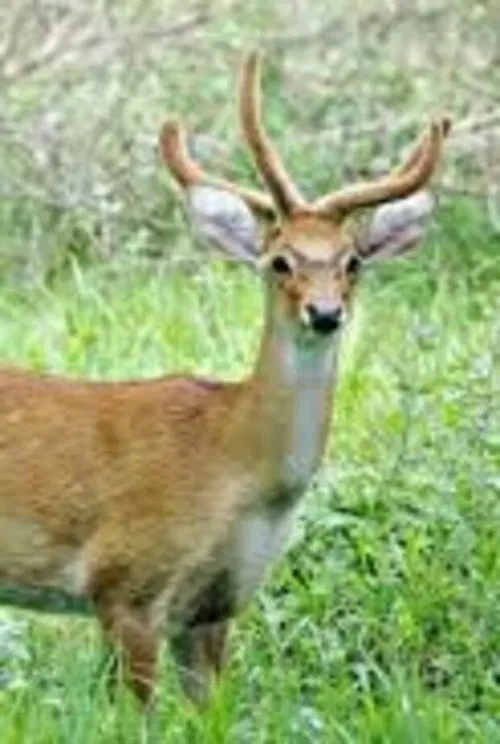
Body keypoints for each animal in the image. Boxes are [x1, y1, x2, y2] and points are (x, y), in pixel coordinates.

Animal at [0, 51, 450, 709]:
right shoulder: (124, 582)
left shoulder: (213, 608)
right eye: (280, 260)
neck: (233, 461)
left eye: (353, 262)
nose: (324, 313)